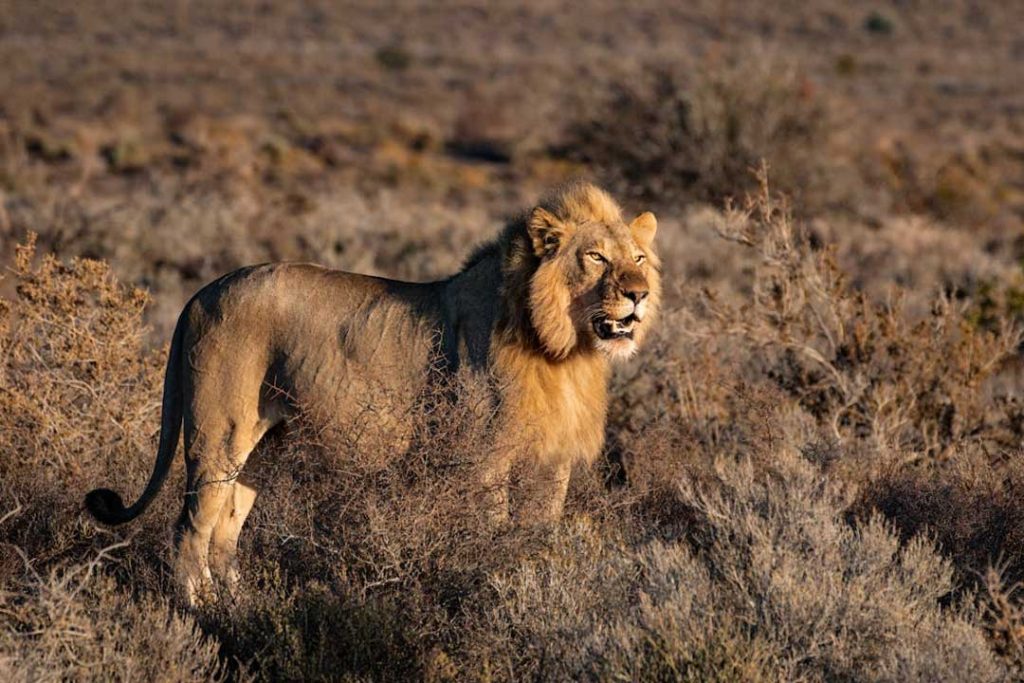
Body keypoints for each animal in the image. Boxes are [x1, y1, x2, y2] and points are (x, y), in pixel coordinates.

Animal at [88, 181, 663, 602]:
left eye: (638, 258)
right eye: (596, 257)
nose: (639, 294)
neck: (564, 350)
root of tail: (200, 294)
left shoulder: (551, 462)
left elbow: (537, 534)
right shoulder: (485, 459)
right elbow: (492, 534)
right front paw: (494, 586)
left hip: (265, 446)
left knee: (227, 528)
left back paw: (240, 605)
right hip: (218, 433)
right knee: (190, 528)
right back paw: (199, 610)